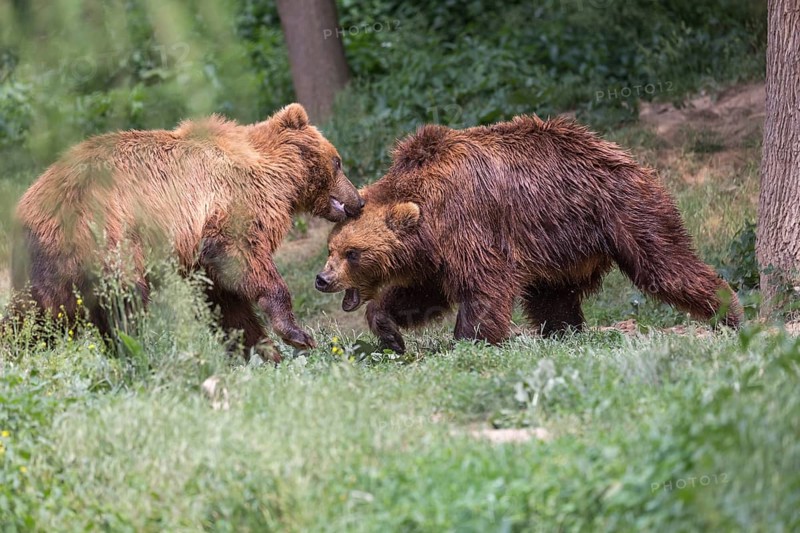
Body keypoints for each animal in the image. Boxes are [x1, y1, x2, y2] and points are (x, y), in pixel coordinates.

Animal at [10, 103, 363, 357]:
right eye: (338, 161)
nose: (357, 201)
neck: (275, 176)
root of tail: (27, 209)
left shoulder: (200, 255)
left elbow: (226, 299)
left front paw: (260, 350)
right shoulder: (229, 208)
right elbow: (245, 258)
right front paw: (297, 335)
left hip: (50, 263)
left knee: (38, 312)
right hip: (108, 237)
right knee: (123, 301)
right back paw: (135, 352)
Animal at [315, 115, 743, 353]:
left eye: (353, 253)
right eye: (332, 248)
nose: (322, 279)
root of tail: (627, 157)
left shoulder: (469, 223)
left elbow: (485, 285)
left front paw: (469, 340)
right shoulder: (435, 255)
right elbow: (421, 294)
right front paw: (388, 331)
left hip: (621, 212)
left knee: (665, 264)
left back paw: (729, 311)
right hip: (560, 245)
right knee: (552, 297)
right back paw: (562, 333)